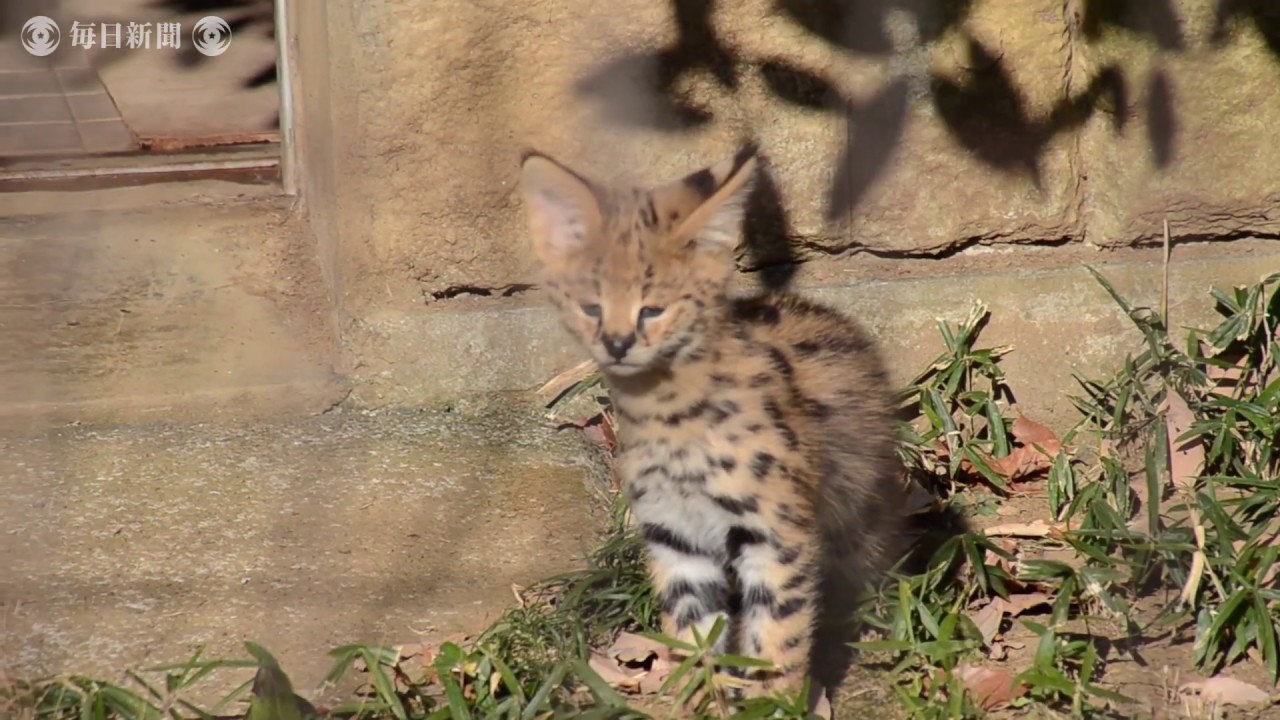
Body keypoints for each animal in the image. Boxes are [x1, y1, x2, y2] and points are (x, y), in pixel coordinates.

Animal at [514, 144, 906, 702]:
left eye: (652, 309)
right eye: (591, 307)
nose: (616, 344)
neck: (667, 416)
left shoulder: (776, 533)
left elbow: (779, 634)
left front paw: (773, 704)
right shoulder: (677, 538)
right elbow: (693, 637)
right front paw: (700, 698)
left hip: (858, 504)